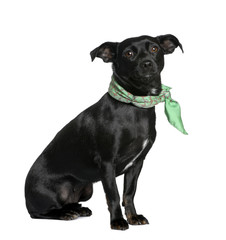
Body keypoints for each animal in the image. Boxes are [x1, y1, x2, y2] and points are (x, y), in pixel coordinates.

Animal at [25, 34, 184, 230]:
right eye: (128, 53)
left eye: (154, 49)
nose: (147, 63)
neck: (135, 105)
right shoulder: (107, 163)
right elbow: (113, 195)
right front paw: (117, 221)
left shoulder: (137, 163)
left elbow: (129, 193)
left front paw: (133, 217)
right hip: (54, 192)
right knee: (39, 213)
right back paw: (64, 214)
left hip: (87, 189)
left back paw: (78, 209)